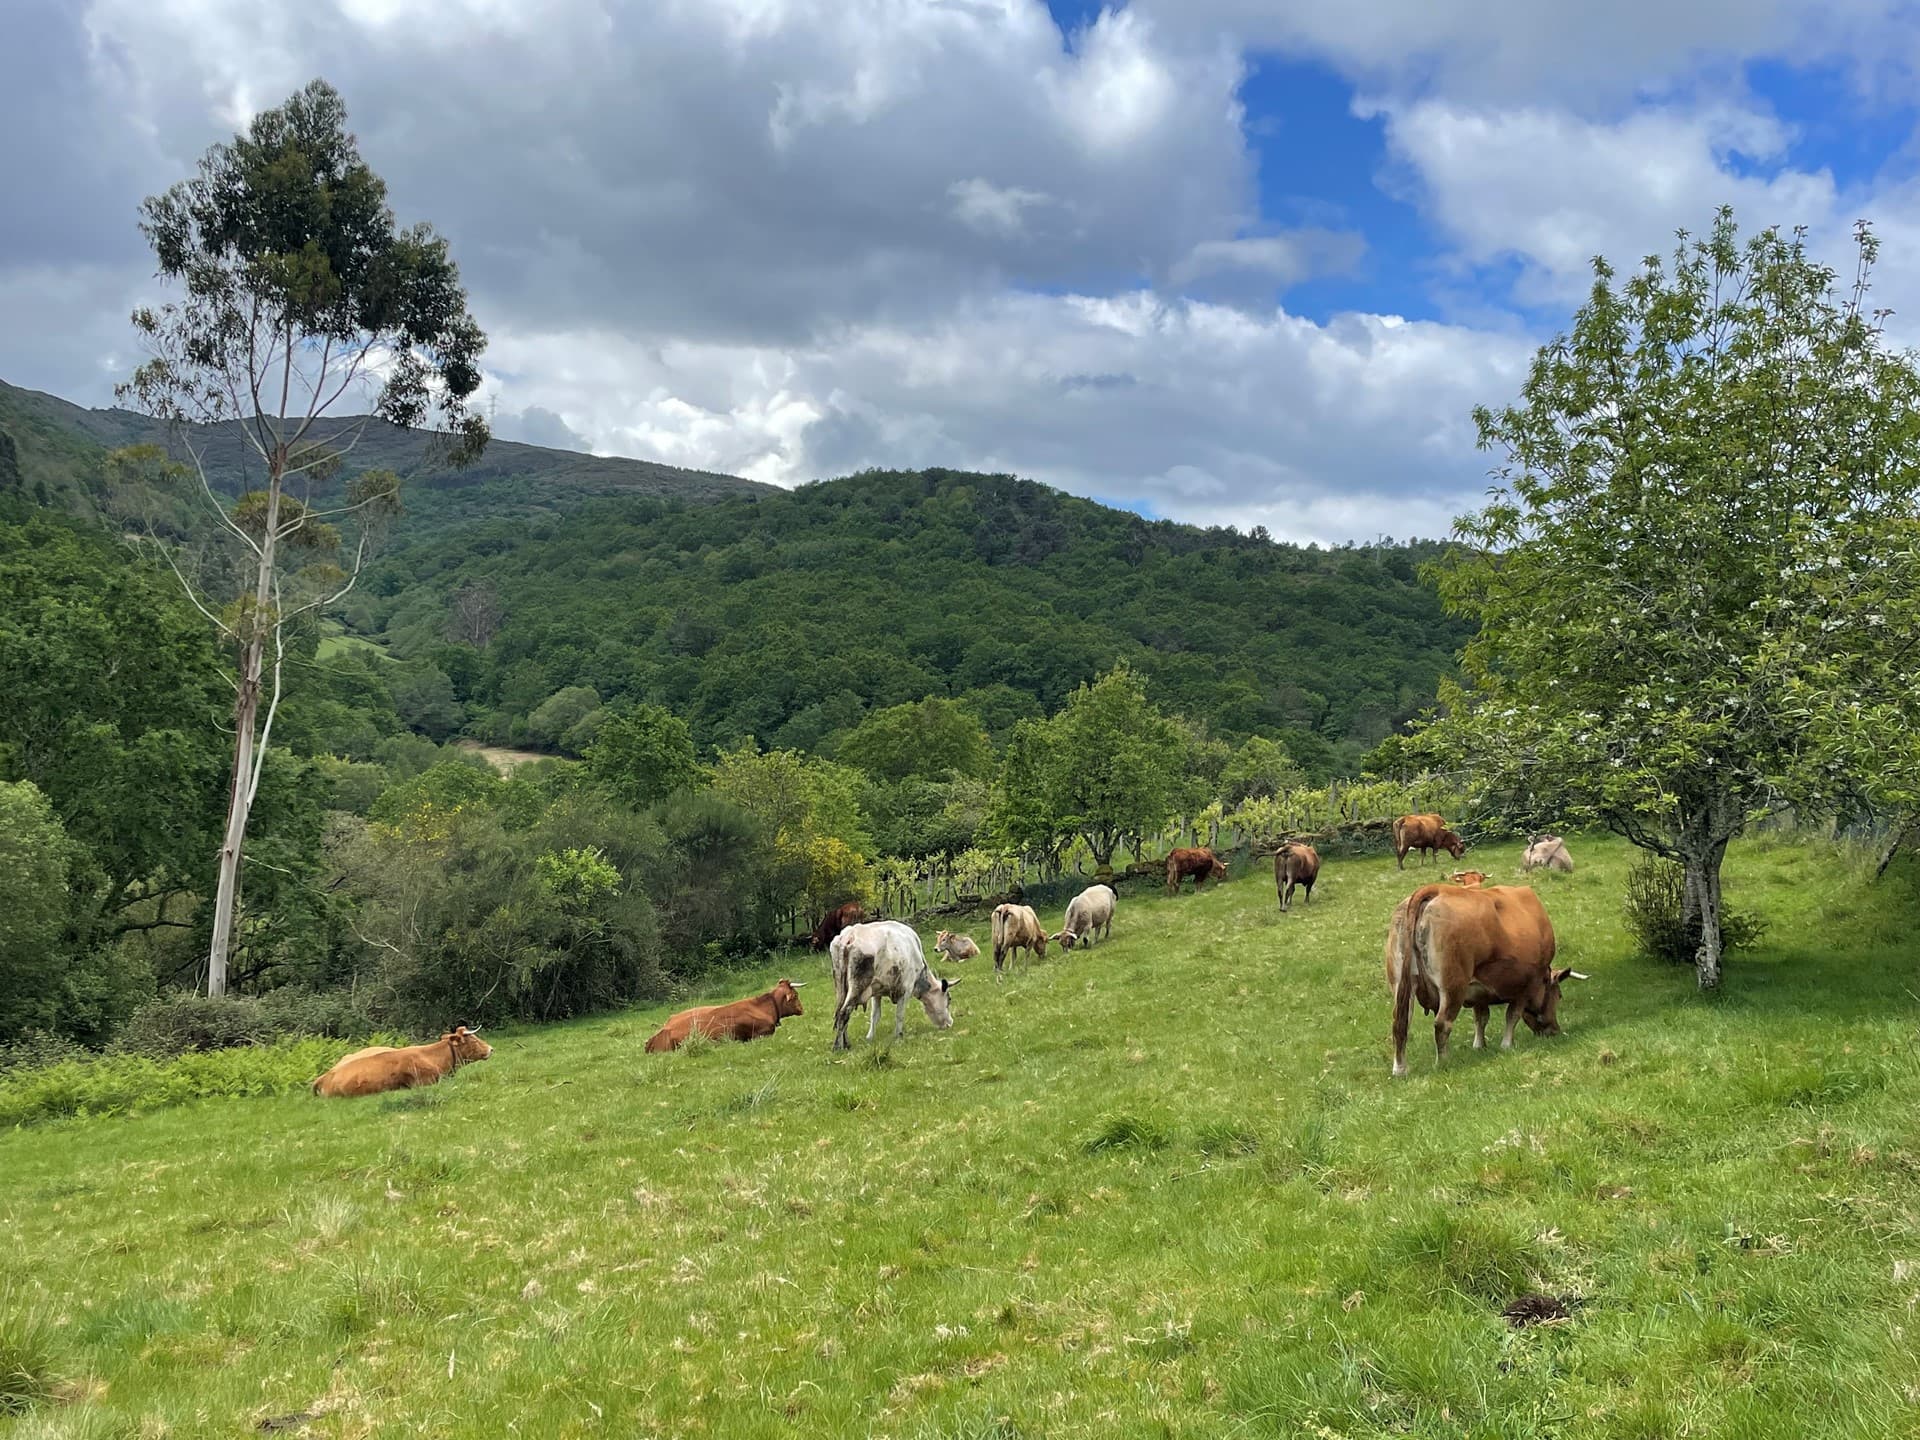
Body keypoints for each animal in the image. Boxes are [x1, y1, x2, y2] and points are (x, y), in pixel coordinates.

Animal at [829, 917, 956, 1052]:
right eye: (949, 998)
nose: (950, 1023)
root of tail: (849, 935)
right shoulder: (906, 990)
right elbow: (899, 1015)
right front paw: (898, 1035)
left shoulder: (876, 992)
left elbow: (875, 1016)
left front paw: (870, 1037)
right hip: (857, 987)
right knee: (843, 1013)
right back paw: (838, 1046)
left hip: (841, 988)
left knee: (839, 1014)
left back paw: (846, 1043)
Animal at [1382, 887, 1589, 1075]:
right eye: (1559, 996)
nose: (1555, 1030)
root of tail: (1436, 889)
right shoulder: (1525, 988)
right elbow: (1512, 1015)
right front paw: (1506, 1044)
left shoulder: (1478, 992)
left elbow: (1481, 1018)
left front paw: (1479, 1046)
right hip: (1453, 987)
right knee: (1442, 1024)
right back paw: (1443, 1062)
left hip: (1402, 984)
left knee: (1400, 1023)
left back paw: (1400, 1069)